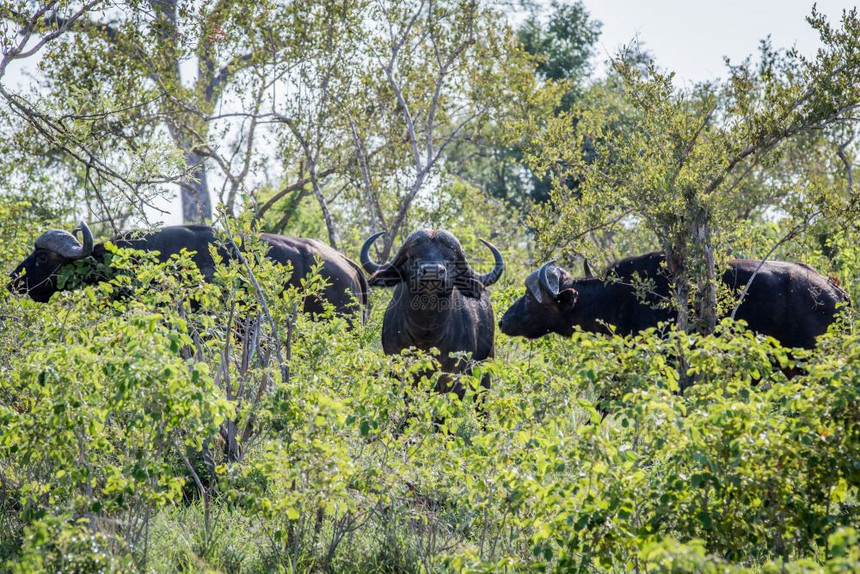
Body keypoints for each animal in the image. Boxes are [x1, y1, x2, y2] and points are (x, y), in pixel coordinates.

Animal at [362, 231, 504, 400]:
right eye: (413, 256)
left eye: (450, 258)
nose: (431, 271)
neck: (427, 333)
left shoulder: (455, 375)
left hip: (486, 364)